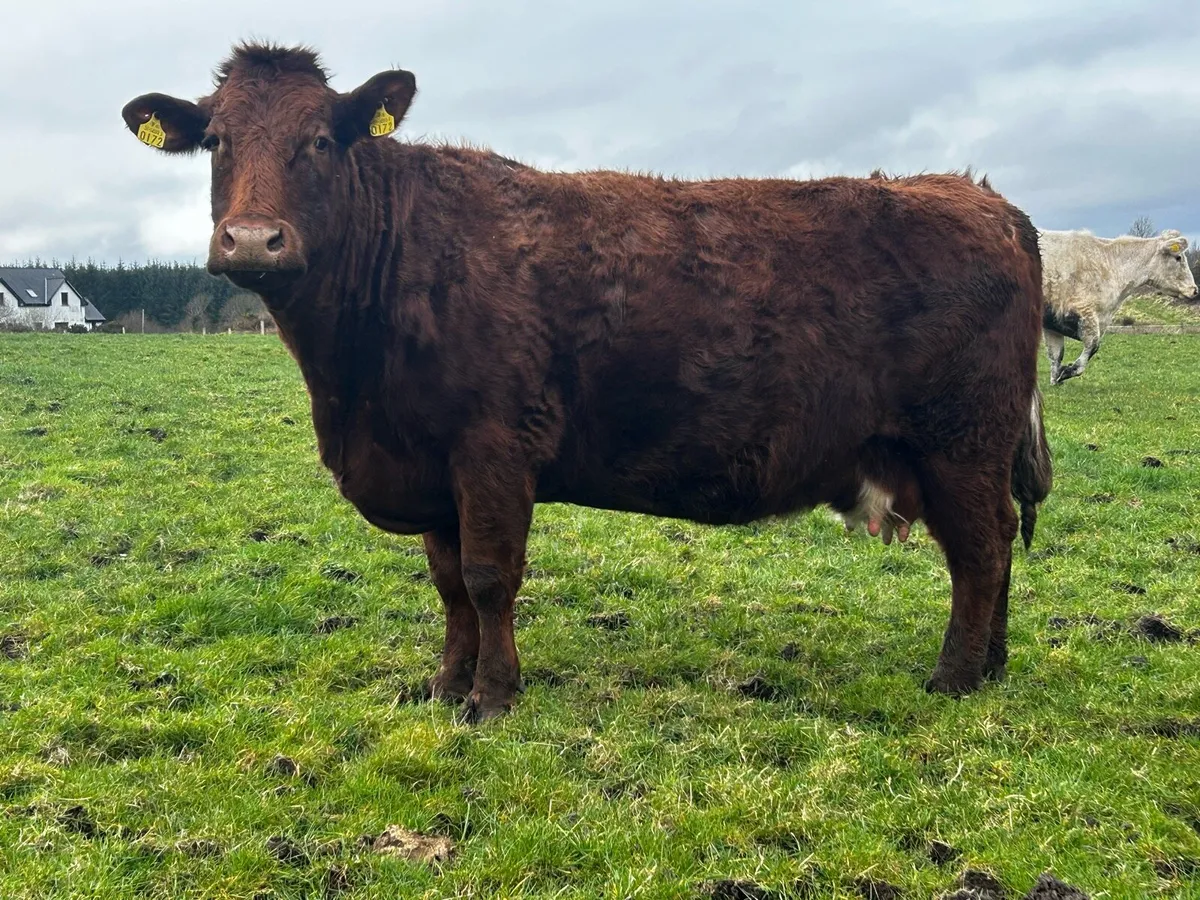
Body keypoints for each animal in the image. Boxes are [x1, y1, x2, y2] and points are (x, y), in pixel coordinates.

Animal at [122, 43, 1052, 723]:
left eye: (321, 138)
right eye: (216, 141)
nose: (252, 240)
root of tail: (982, 197)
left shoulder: (493, 449)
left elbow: (490, 578)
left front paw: (493, 699)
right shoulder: (432, 468)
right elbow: (450, 585)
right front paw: (445, 687)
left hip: (960, 443)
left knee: (981, 553)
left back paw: (954, 678)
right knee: (1000, 545)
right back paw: (995, 667)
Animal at [1039, 228, 1199, 385]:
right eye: (1178, 258)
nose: (1194, 290)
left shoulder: (1054, 323)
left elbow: (1056, 355)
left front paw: (1056, 380)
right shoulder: (1084, 313)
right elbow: (1093, 345)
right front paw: (1069, 371)